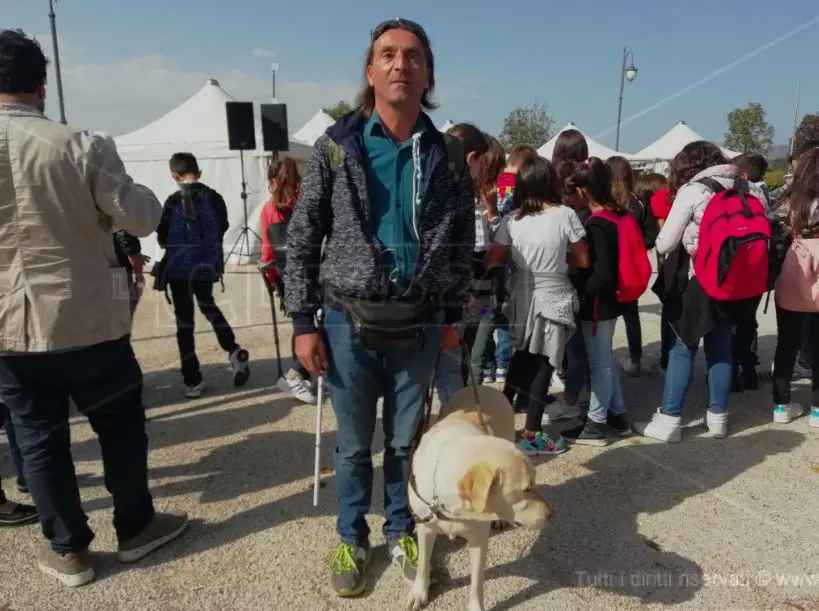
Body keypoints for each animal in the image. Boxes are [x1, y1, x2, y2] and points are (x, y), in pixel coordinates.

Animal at [406, 388, 556, 611]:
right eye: (527, 488)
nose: (551, 515)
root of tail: (488, 388)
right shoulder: (425, 528)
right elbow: (423, 564)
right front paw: (419, 592)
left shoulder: (478, 539)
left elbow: (477, 581)